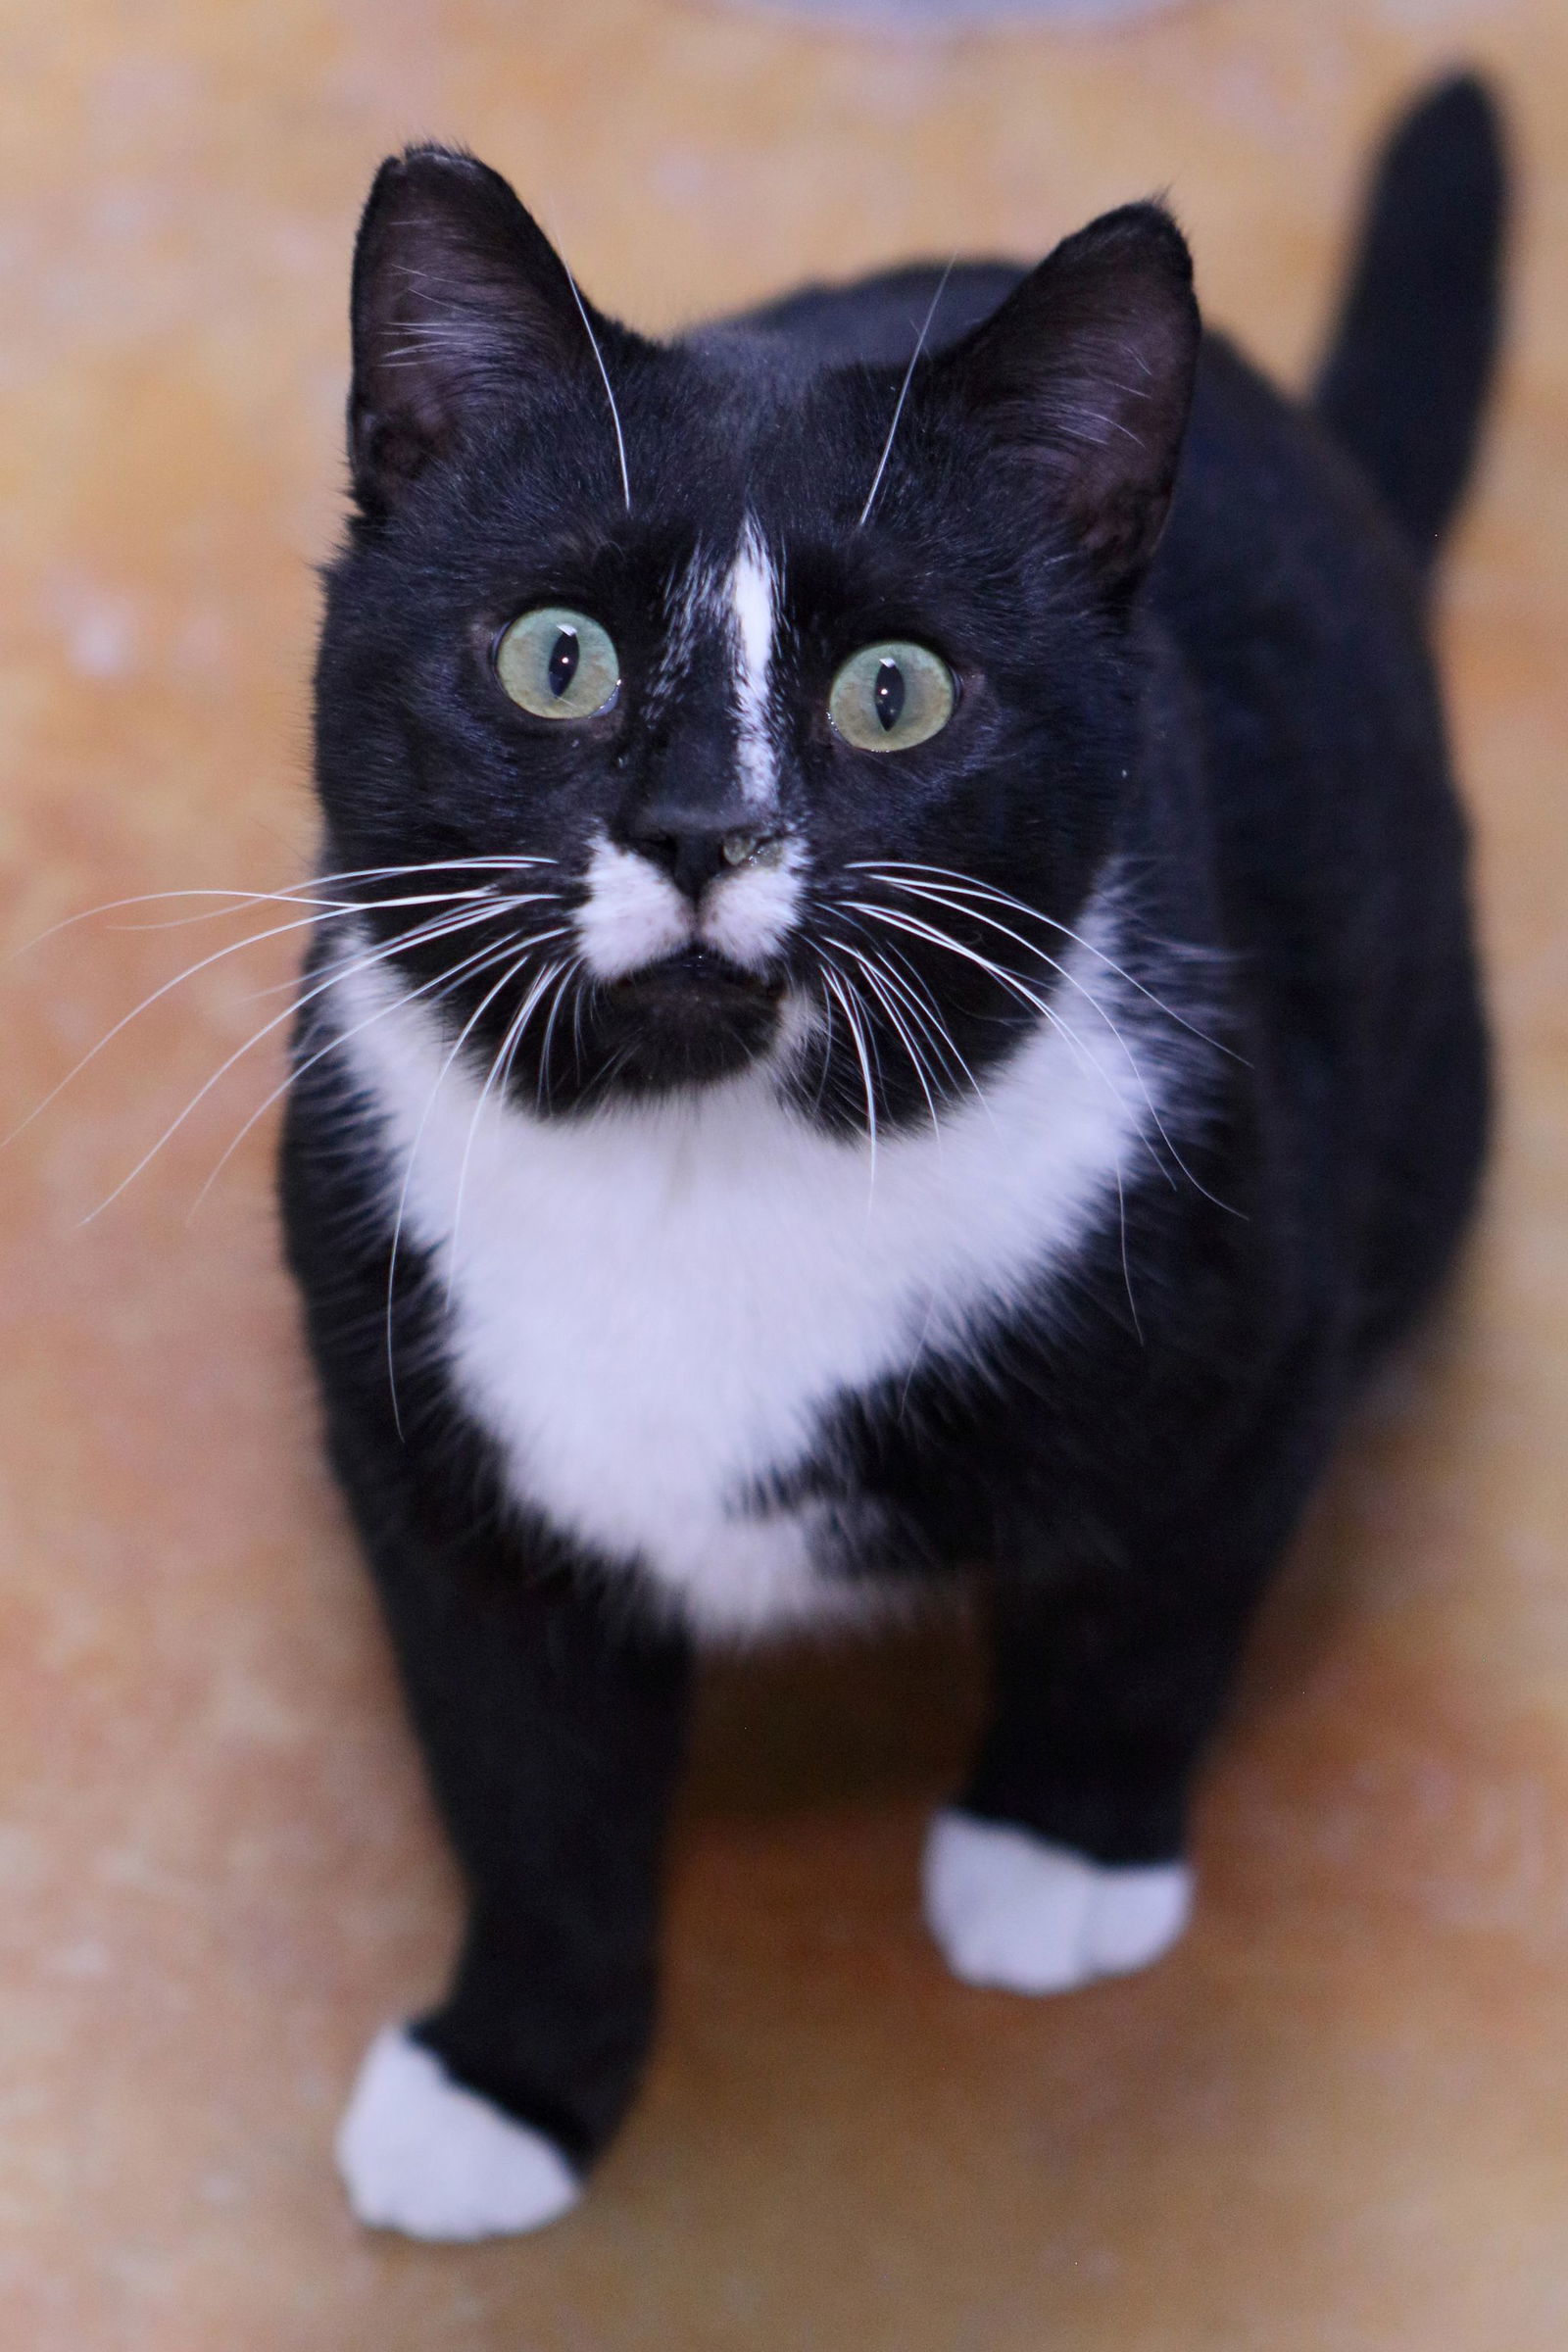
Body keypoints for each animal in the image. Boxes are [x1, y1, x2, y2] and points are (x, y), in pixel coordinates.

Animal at [278, 77, 1504, 2238]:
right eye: (554, 657)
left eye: (893, 694)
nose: (696, 826)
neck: (697, 1166)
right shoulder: (416, 1441)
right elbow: (523, 1785)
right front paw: (509, 2077)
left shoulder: (1249, 1299)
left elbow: (1152, 1611)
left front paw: (1059, 1852)